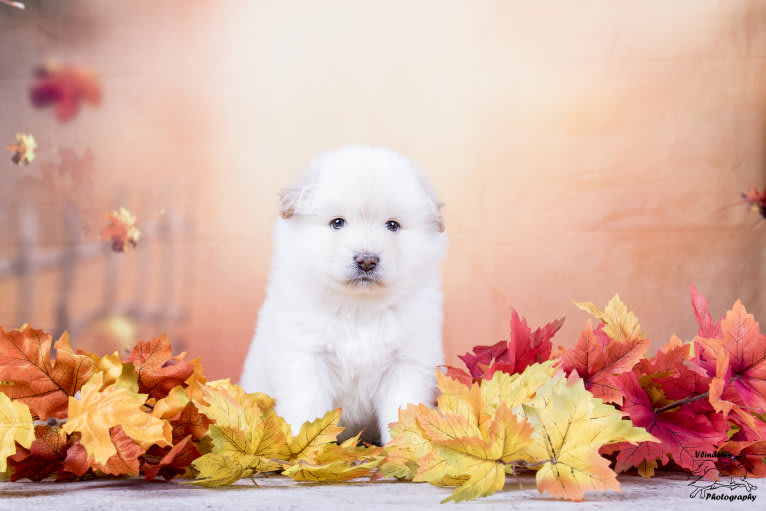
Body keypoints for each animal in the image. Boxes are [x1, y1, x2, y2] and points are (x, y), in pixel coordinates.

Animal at [242, 145, 450, 444]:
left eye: (393, 225)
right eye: (337, 223)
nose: (366, 260)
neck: (359, 308)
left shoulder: (406, 363)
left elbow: (401, 412)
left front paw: (404, 448)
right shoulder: (306, 357)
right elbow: (307, 411)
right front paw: (304, 449)